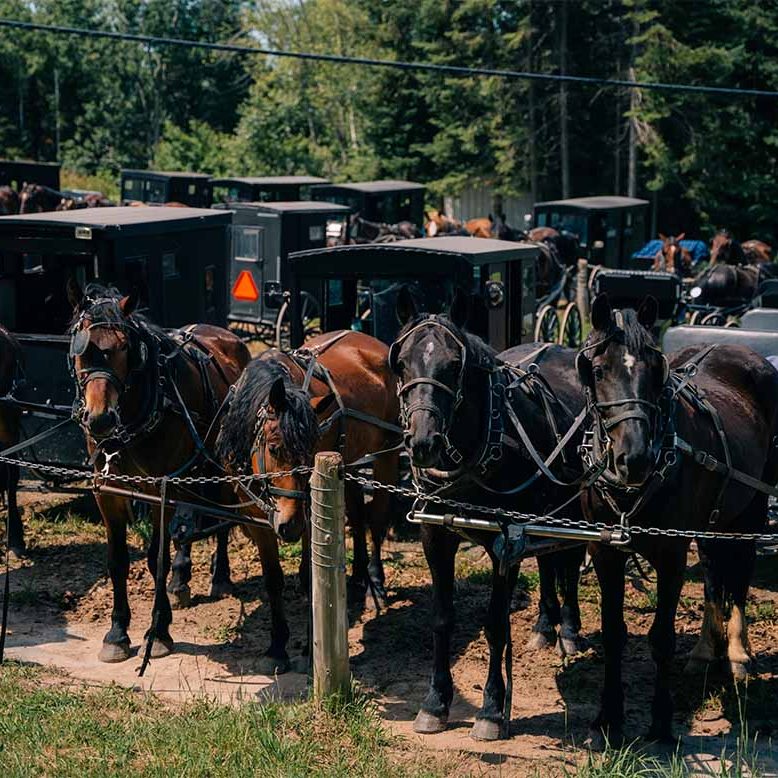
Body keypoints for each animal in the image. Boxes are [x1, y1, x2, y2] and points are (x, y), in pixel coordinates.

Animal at [67, 280, 250, 660]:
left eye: (124, 349)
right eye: (80, 350)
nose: (101, 419)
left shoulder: (158, 490)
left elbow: (156, 558)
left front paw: (159, 631)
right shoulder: (107, 491)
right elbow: (118, 561)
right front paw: (117, 633)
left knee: (217, 517)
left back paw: (220, 577)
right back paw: (182, 579)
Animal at [215, 330, 400, 668]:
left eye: (311, 451)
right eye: (274, 447)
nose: (289, 526)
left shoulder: (311, 509)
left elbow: (308, 574)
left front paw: (310, 648)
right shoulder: (258, 518)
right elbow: (273, 579)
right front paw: (278, 644)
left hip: (387, 456)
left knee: (376, 521)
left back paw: (375, 584)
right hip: (349, 463)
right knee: (356, 515)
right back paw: (357, 578)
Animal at [392, 286, 584, 740]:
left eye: (453, 365)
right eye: (402, 362)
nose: (423, 442)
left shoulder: (505, 542)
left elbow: (496, 623)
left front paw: (493, 710)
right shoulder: (435, 535)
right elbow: (442, 617)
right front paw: (435, 703)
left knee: (569, 560)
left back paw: (568, 629)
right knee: (547, 562)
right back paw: (544, 626)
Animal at [576, 294, 776, 744]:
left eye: (655, 370)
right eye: (597, 370)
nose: (634, 458)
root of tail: (733, 344)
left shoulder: (670, 554)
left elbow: (662, 638)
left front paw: (661, 722)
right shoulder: (605, 551)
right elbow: (613, 632)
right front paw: (608, 717)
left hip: (753, 505)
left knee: (739, 574)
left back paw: (737, 652)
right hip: (712, 520)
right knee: (714, 574)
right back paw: (705, 651)